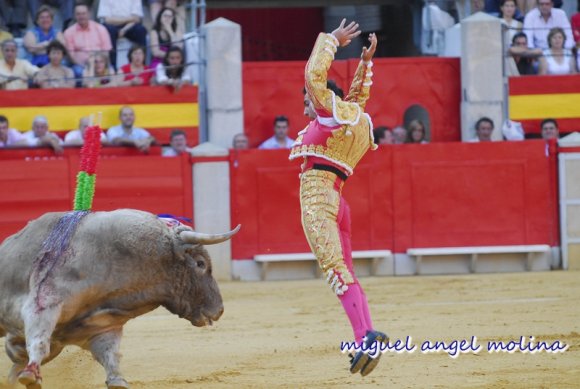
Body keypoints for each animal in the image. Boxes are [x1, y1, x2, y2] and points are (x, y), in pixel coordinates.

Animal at [0, 209, 240, 388]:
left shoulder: (104, 326)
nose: (219, 310)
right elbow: (39, 342)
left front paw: (118, 380)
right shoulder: (44, 304)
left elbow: (110, 355)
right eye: (200, 263)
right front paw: (31, 375)